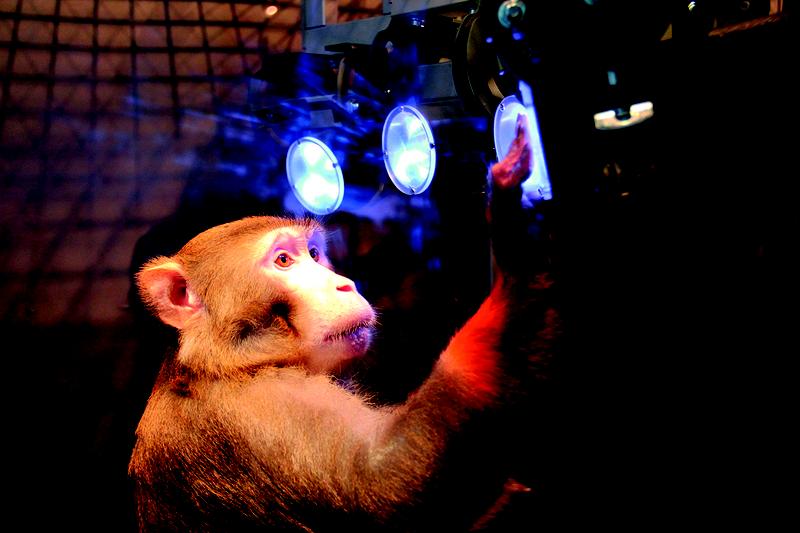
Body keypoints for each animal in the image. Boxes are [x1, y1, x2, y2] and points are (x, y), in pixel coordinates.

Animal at [131, 114, 556, 528]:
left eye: (314, 254)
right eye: (283, 260)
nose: (345, 284)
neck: (226, 364)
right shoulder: (258, 410)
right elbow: (387, 483)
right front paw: (516, 240)